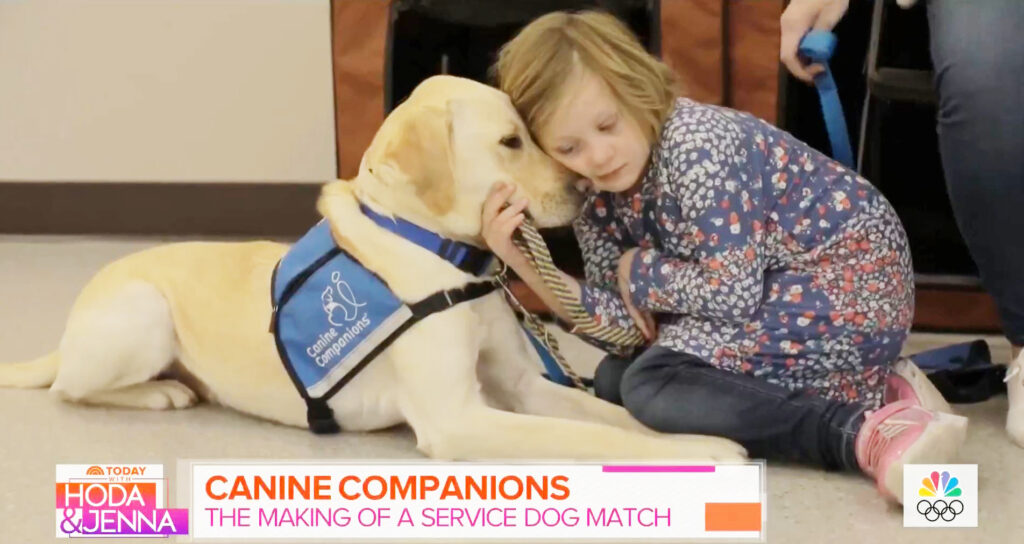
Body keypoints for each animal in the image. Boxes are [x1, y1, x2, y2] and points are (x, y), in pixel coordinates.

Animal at [0, 74, 741, 461]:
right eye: (510, 141)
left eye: (529, 132)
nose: (584, 190)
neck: (439, 254)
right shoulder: (457, 418)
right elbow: (582, 438)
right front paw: (704, 452)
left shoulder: (522, 385)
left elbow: (613, 419)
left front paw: (688, 435)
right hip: (144, 314)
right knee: (70, 388)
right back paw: (160, 393)